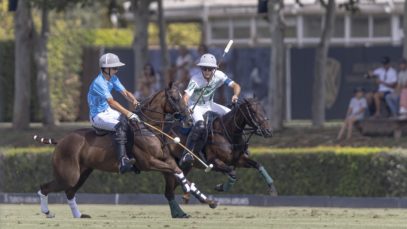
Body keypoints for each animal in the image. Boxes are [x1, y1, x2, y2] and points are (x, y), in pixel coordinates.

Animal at [35, 83, 218, 219]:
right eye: (174, 98)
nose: (189, 120)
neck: (149, 128)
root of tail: (60, 141)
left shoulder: (166, 159)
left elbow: (176, 173)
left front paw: (206, 200)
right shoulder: (149, 163)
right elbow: (176, 171)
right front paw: (191, 194)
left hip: (83, 173)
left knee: (70, 191)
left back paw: (78, 215)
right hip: (69, 174)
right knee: (45, 187)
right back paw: (47, 212)